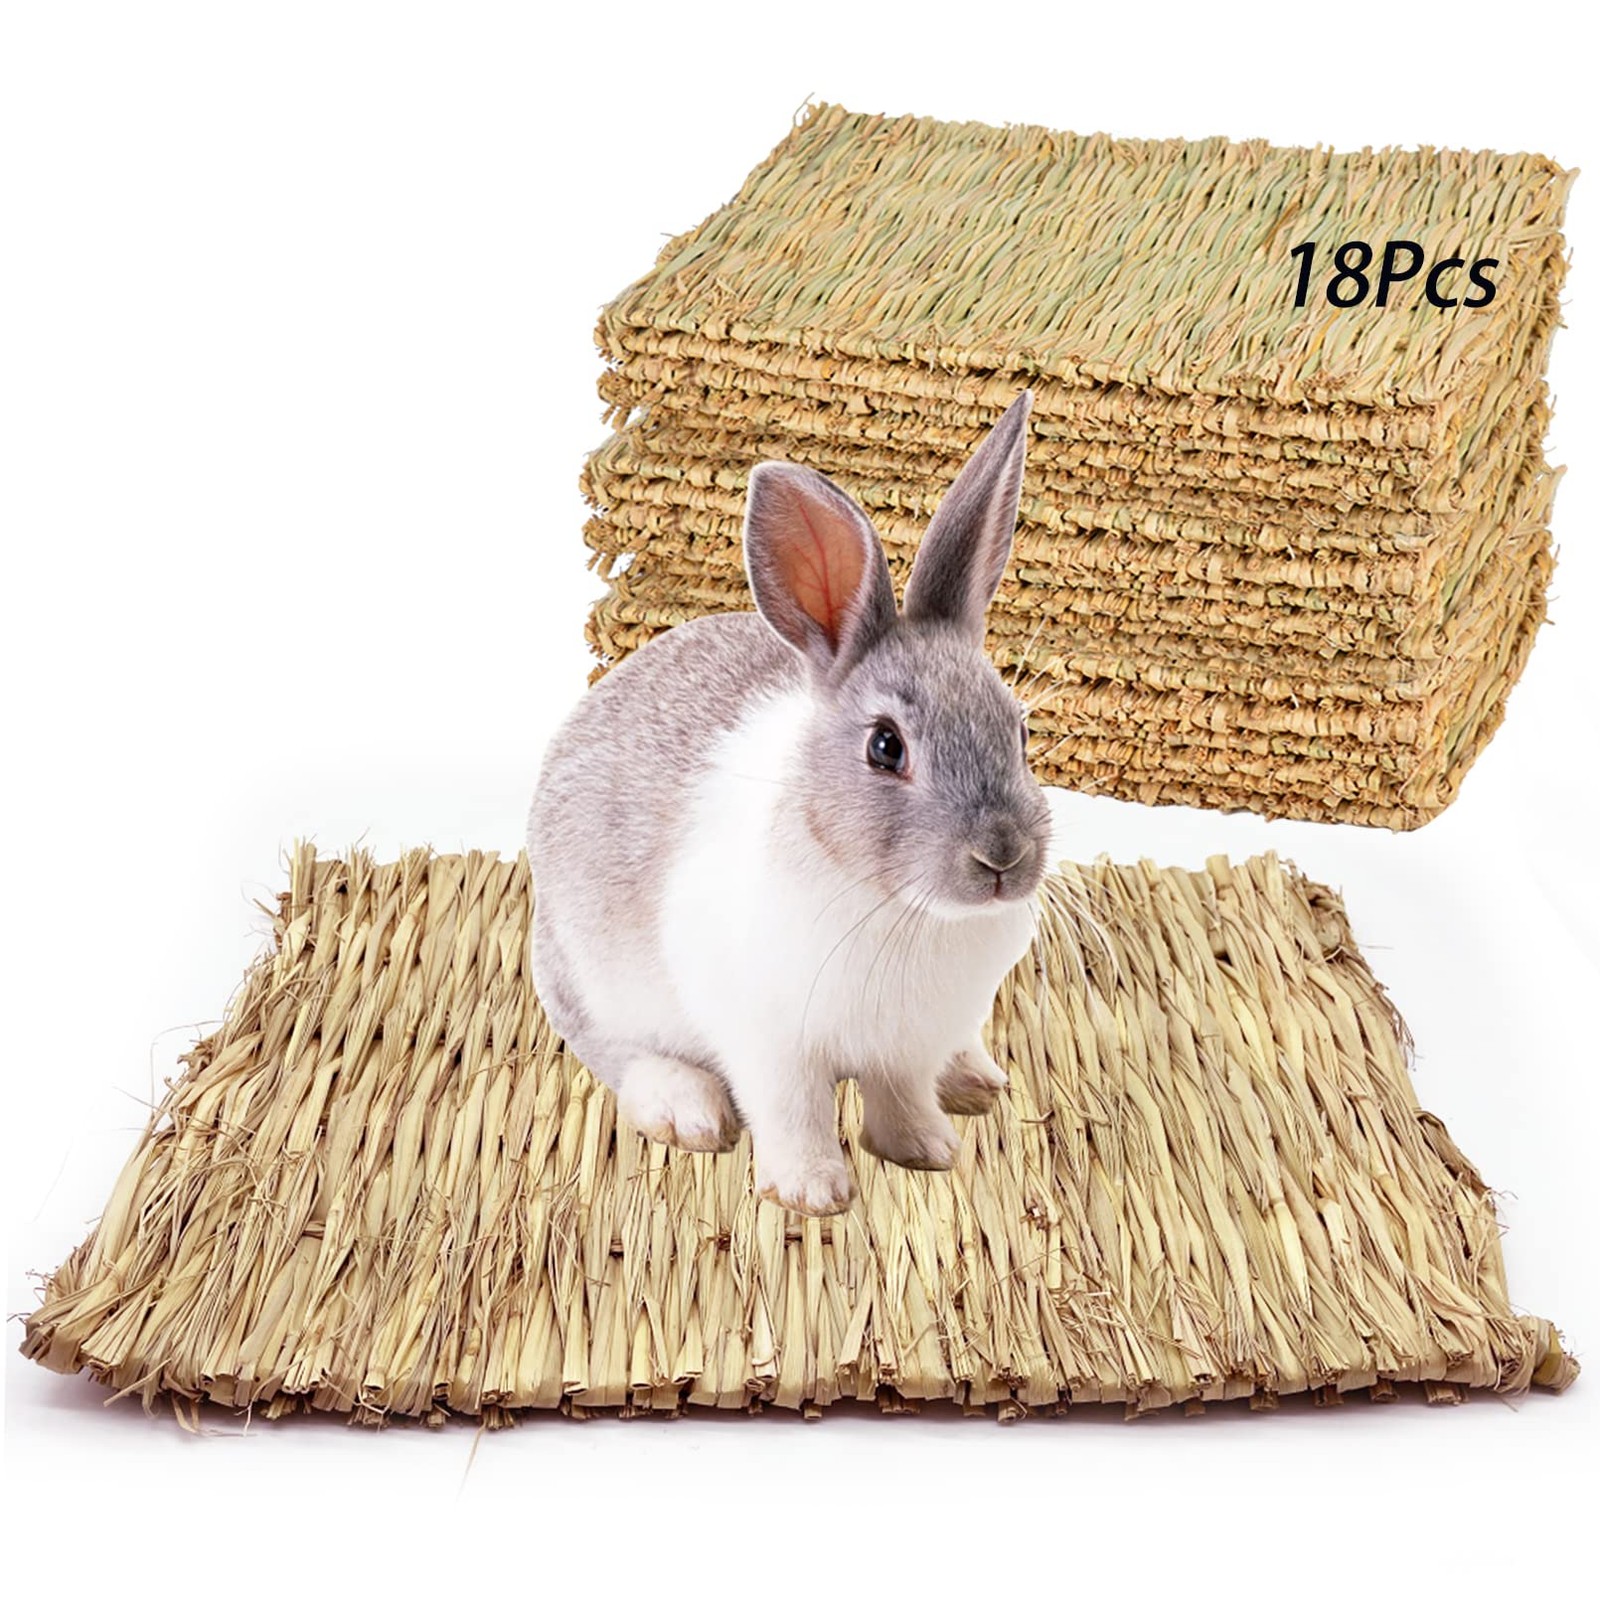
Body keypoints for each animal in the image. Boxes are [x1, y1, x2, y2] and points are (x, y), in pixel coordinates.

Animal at [527, 390, 1052, 1215]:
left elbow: (901, 1096)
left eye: (1022, 732)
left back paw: (973, 1079)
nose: (1003, 857)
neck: (901, 910)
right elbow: (793, 1110)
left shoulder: (906, 1045)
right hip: (589, 981)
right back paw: (686, 1111)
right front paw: (812, 1193)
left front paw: (925, 1150)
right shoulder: (769, 1042)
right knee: (620, 1055)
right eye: (885, 747)